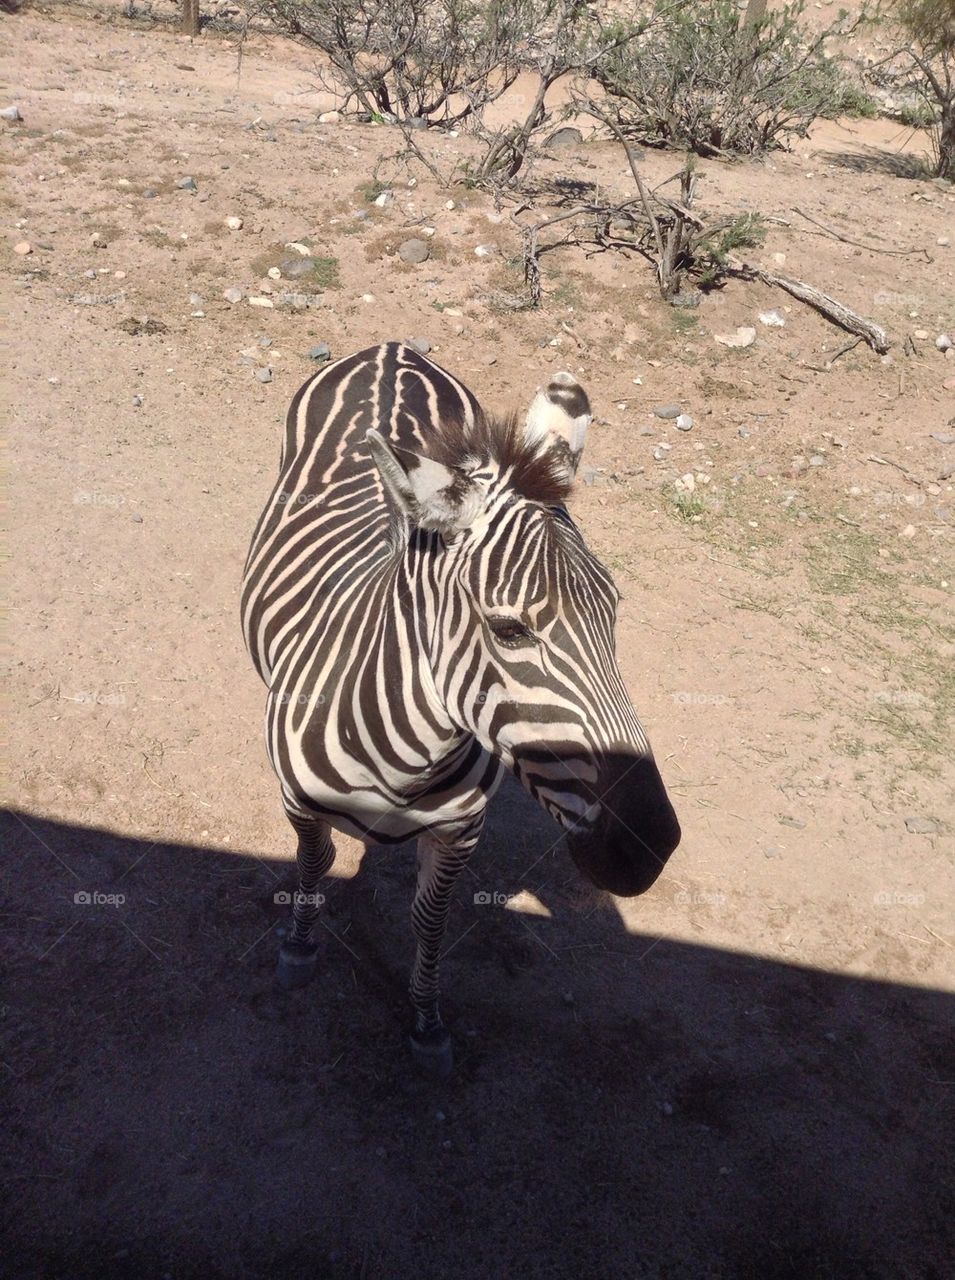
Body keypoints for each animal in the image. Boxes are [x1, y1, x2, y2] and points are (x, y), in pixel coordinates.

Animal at [242, 341, 680, 1075]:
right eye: (508, 630)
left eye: (613, 614)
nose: (650, 848)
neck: (404, 764)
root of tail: (392, 349)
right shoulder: (298, 802)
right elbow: (313, 861)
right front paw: (298, 946)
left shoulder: (459, 833)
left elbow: (431, 919)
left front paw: (426, 1020)